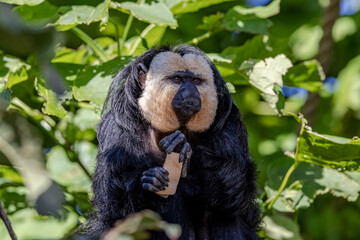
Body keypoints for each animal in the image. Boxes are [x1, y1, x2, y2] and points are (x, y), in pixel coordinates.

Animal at [88, 44, 260, 238]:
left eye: (196, 81)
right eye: (177, 79)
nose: (190, 93)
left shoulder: (229, 124)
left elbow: (234, 190)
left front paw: (184, 151)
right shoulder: (116, 129)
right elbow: (114, 208)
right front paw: (151, 181)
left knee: (225, 215)